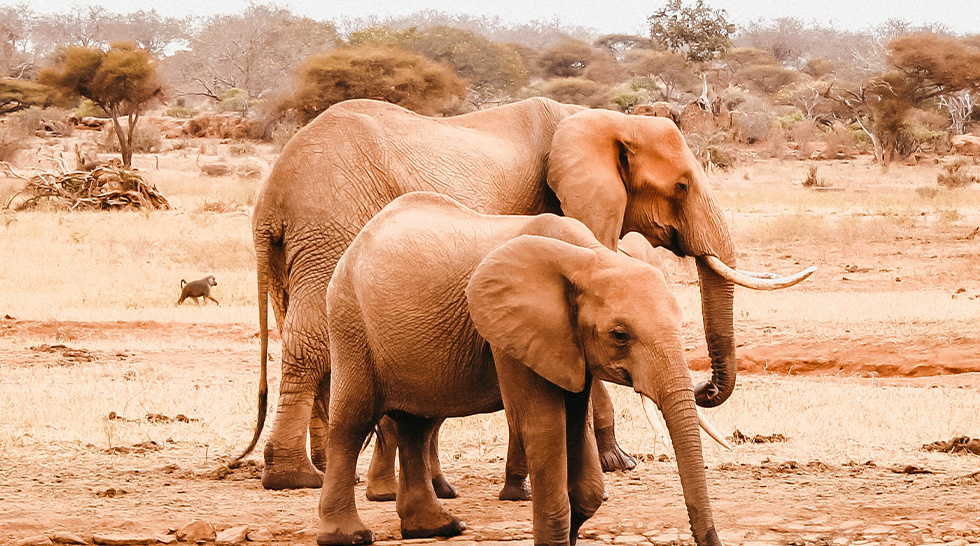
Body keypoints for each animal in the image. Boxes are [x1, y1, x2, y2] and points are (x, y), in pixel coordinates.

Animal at [240, 97, 815, 492]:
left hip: (303, 245)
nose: (703, 389)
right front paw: (617, 463)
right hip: (330, 226)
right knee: (311, 341)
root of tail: (270, 198)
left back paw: (333, 469)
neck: (597, 118)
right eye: (681, 186)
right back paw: (298, 478)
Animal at [317, 191, 726, 546]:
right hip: (350, 320)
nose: (705, 388)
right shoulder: (509, 331)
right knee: (352, 421)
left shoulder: (567, 342)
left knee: (417, 424)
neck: (590, 258)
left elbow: (576, 427)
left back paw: (438, 528)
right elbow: (543, 425)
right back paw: (348, 536)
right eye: (620, 335)